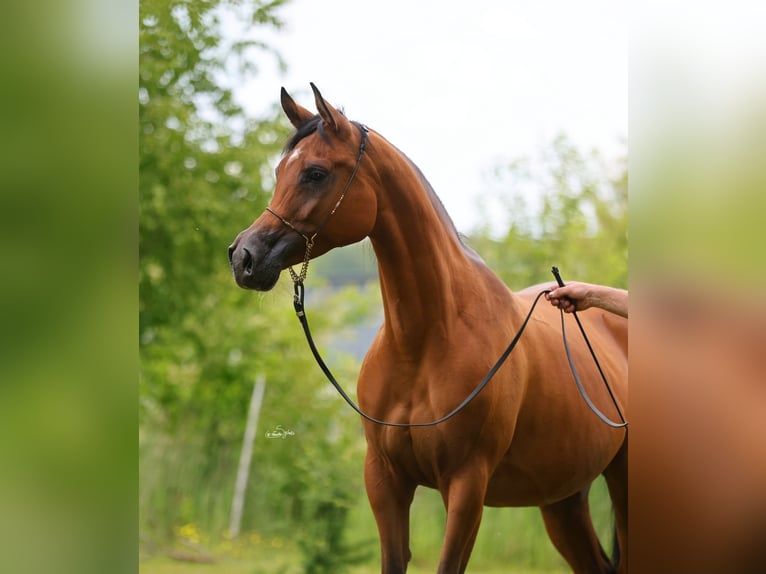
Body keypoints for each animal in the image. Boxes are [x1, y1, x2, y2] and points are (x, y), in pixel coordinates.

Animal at [228, 84, 628, 574]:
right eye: (280, 170)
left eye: (315, 173)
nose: (243, 256)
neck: (423, 343)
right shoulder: (384, 480)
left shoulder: (467, 486)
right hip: (563, 498)